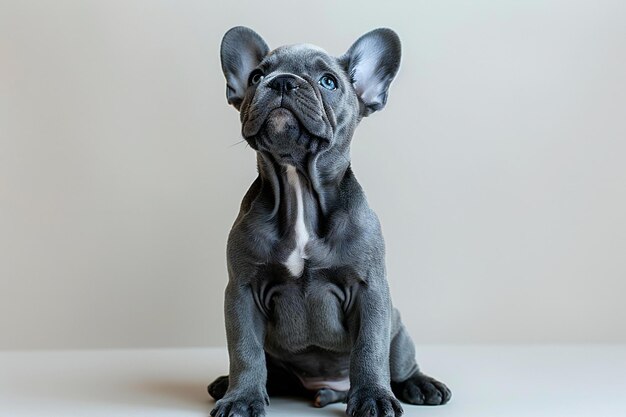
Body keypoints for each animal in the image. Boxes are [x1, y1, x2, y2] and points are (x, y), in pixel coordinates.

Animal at [208, 26, 448, 416]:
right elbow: (245, 351)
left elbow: (369, 348)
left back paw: (420, 385)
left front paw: (373, 398)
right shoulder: (242, 292)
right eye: (256, 77)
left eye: (328, 81)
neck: (299, 189)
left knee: (399, 363)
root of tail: (327, 388)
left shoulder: (369, 291)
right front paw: (241, 398)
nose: (283, 81)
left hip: (398, 331)